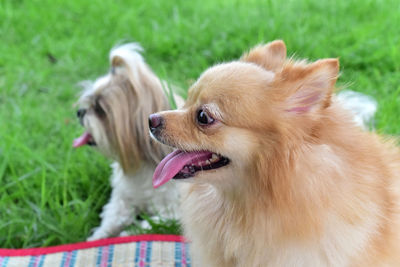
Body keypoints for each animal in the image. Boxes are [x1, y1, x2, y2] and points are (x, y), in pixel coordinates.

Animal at [74, 43, 180, 241]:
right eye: (89, 102)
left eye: (100, 109)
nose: (80, 112)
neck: (144, 164)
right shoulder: (122, 199)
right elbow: (113, 218)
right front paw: (97, 238)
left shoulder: (172, 213)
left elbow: (148, 225)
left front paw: (126, 235)